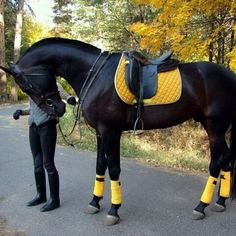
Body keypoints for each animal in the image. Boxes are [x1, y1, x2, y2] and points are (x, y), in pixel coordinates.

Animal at [0, 37, 236, 226]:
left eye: (26, 85)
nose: (58, 108)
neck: (95, 74)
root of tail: (230, 76)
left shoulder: (111, 131)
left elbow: (113, 169)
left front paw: (113, 210)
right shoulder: (99, 133)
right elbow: (100, 166)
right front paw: (95, 202)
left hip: (215, 127)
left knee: (216, 163)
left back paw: (201, 206)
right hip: (213, 126)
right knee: (226, 159)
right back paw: (220, 201)